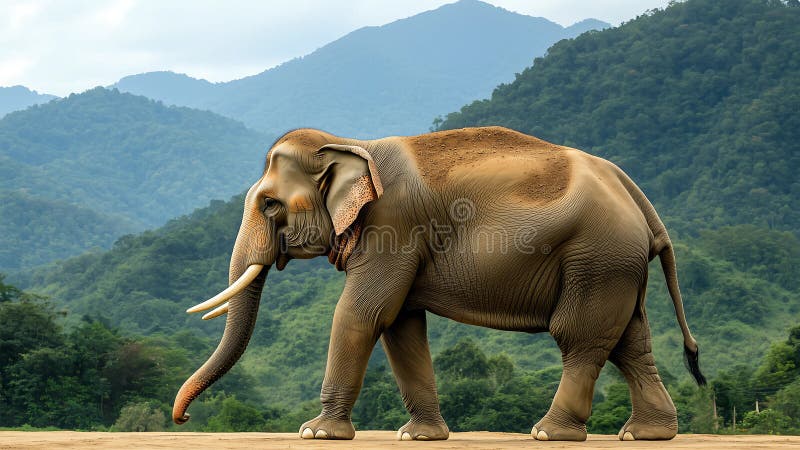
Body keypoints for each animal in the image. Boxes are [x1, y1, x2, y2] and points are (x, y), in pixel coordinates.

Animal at [172, 126, 705, 441]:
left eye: (269, 205)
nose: (183, 419)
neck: (351, 142)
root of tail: (637, 195)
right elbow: (400, 325)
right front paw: (419, 437)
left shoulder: (393, 226)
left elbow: (363, 313)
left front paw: (316, 434)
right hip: (616, 266)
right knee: (629, 341)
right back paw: (646, 435)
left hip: (596, 259)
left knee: (580, 338)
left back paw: (548, 434)